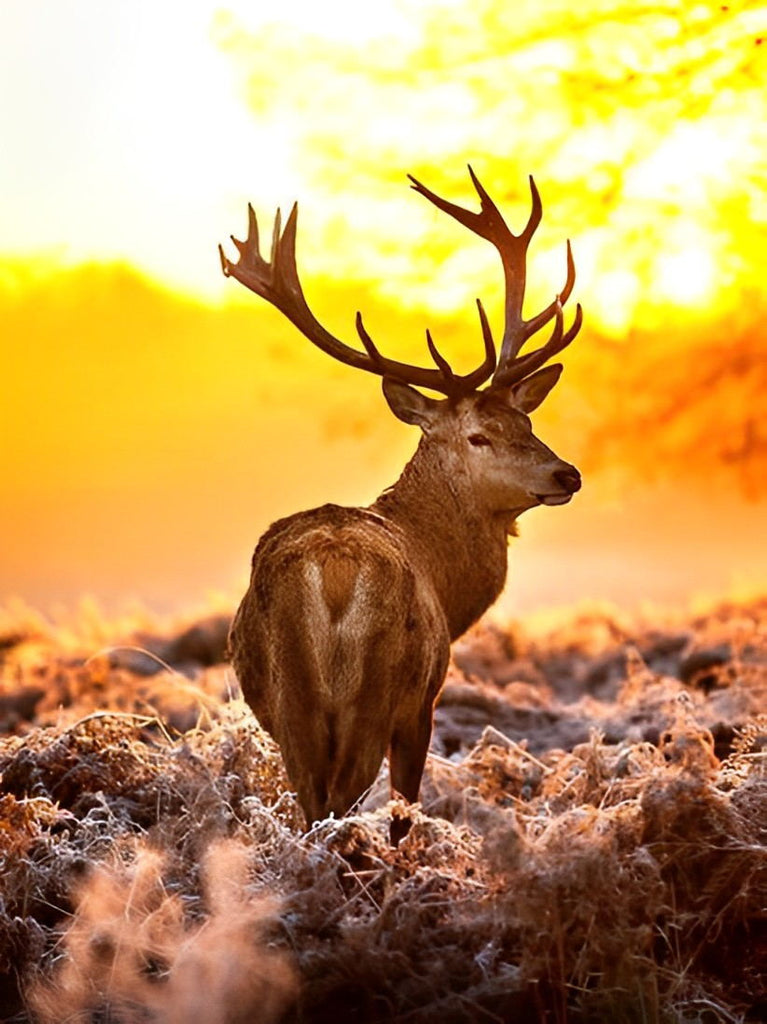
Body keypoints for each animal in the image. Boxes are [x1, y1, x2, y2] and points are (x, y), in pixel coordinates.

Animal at [220, 165, 581, 839]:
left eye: (527, 420)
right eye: (478, 435)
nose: (566, 473)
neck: (447, 582)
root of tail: (332, 571)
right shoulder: (423, 703)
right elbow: (405, 810)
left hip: (289, 703)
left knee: (311, 806)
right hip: (377, 691)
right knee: (341, 804)